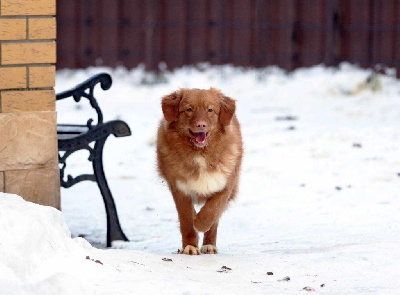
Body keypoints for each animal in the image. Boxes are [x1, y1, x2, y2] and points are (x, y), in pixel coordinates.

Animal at [157, 87, 244, 254]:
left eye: (210, 110)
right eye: (189, 109)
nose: (201, 125)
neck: (200, 153)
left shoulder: (226, 185)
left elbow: (211, 211)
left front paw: (200, 223)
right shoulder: (180, 189)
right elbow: (186, 221)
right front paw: (190, 246)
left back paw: (209, 245)